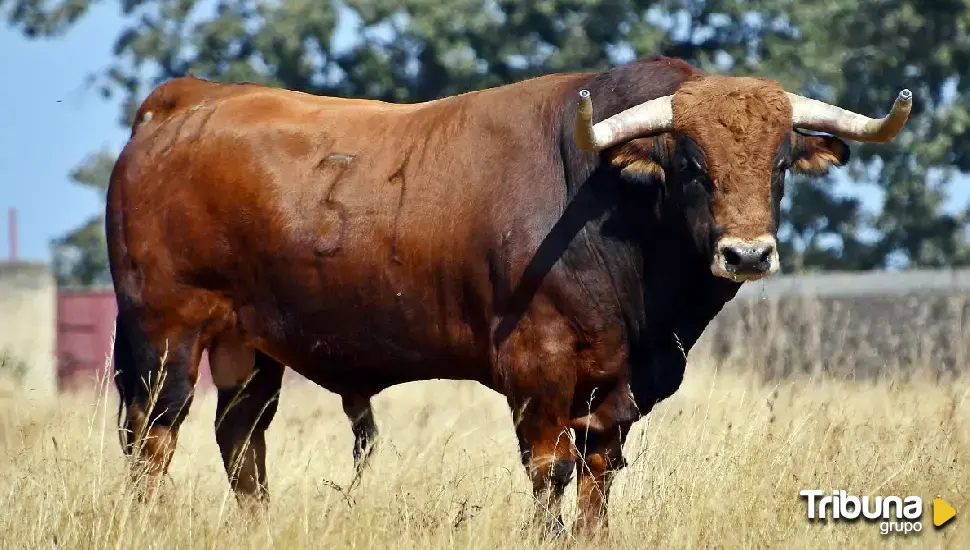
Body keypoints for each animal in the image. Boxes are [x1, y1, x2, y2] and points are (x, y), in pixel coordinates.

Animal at [106, 55, 908, 536]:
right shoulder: (539, 371)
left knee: (241, 439)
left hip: (248, 345)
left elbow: (598, 475)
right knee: (152, 437)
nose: (747, 253)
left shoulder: (615, 389)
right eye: (691, 163)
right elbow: (550, 472)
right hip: (164, 334)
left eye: (780, 162)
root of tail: (189, 99)